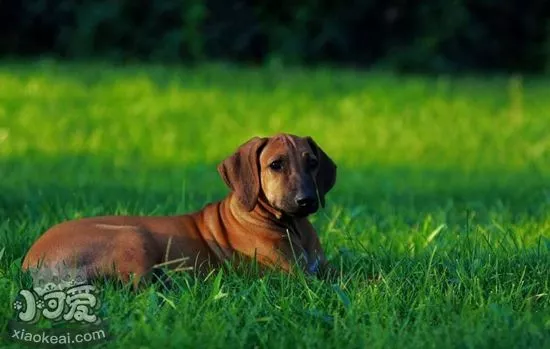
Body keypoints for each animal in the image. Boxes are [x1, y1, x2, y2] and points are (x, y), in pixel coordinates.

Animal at [21, 133, 338, 282]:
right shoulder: (295, 276)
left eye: (312, 163)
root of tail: (30, 262)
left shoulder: (322, 269)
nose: (307, 201)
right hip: (133, 235)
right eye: (276, 165)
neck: (292, 225)